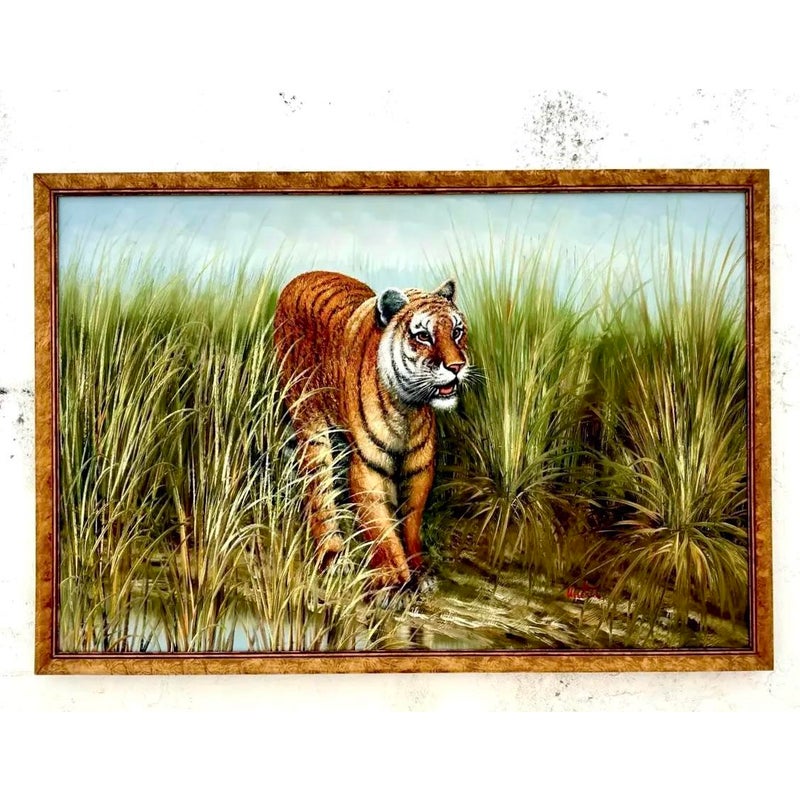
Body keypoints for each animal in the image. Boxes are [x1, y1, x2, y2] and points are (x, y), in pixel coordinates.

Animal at [273, 270, 470, 588]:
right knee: (319, 488)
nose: (456, 366)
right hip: (310, 420)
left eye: (457, 332)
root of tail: (300, 277)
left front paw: (419, 571)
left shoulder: (419, 467)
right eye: (423, 336)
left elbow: (410, 521)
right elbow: (381, 528)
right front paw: (395, 579)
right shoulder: (369, 468)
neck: (408, 408)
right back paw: (333, 556)